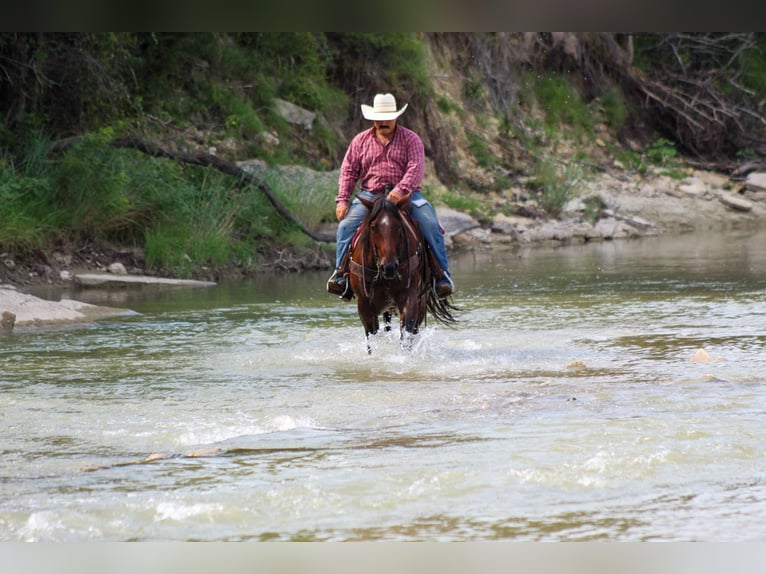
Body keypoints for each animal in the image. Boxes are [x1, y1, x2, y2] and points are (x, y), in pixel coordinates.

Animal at [347, 194, 456, 353]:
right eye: (373, 227)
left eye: (398, 226)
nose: (389, 267)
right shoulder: (364, 304)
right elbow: (372, 340)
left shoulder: (410, 298)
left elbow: (406, 335)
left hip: (421, 302)